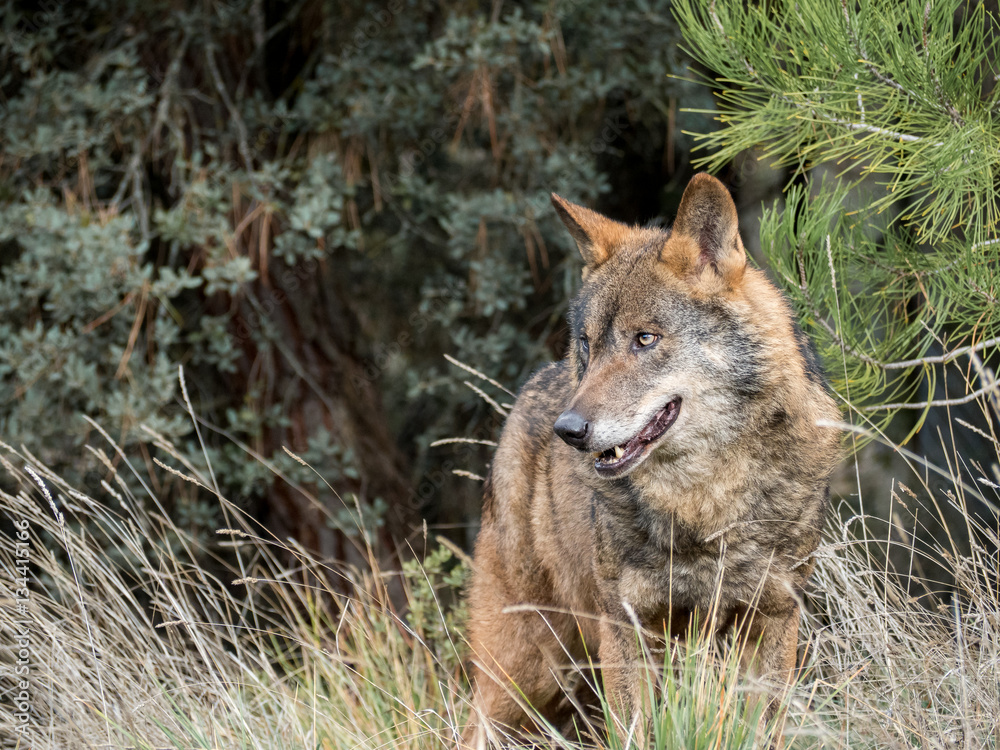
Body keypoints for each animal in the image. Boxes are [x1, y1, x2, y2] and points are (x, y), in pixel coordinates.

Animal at [461, 173, 841, 746]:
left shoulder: (772, 620)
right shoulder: (627, 628)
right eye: (588, 345)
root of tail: (531, 388)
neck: (704, 503)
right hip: (527, 674)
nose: (569, 431)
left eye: (645, 339)